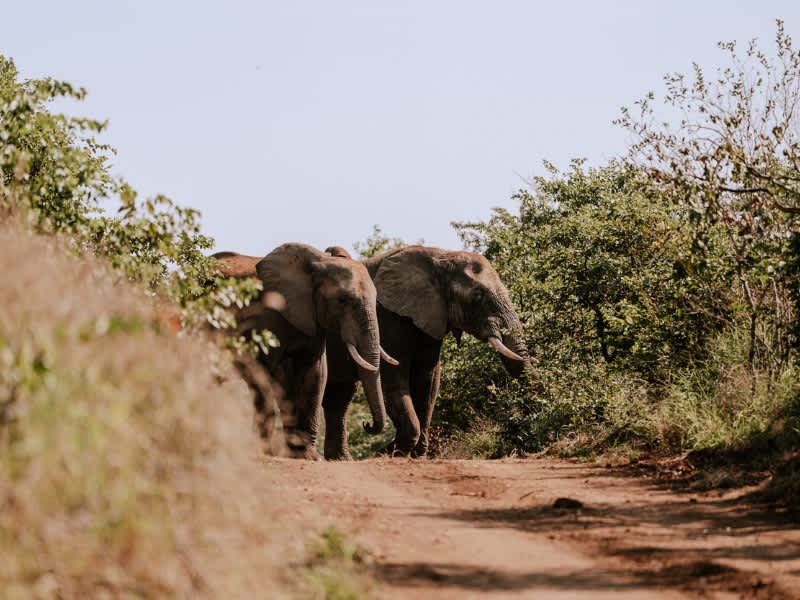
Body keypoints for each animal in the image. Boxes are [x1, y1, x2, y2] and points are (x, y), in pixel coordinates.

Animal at [212, 244, 395, 459]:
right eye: (342, 300)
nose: (367, 424)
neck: (319, 264)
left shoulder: (313, 318)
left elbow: (315, 373)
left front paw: (308, 456)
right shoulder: (265, 317)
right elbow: (266, 373)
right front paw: (267, 454)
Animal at [323, 245, 534, 459]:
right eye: (478, 295)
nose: (366, 424)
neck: (440, 256)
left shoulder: (431, 316)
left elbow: (427, 379)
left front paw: (415, 454)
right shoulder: (388, 316)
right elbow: (394, 375)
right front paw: (389, 453)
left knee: (338, 399)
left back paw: (341, 459)